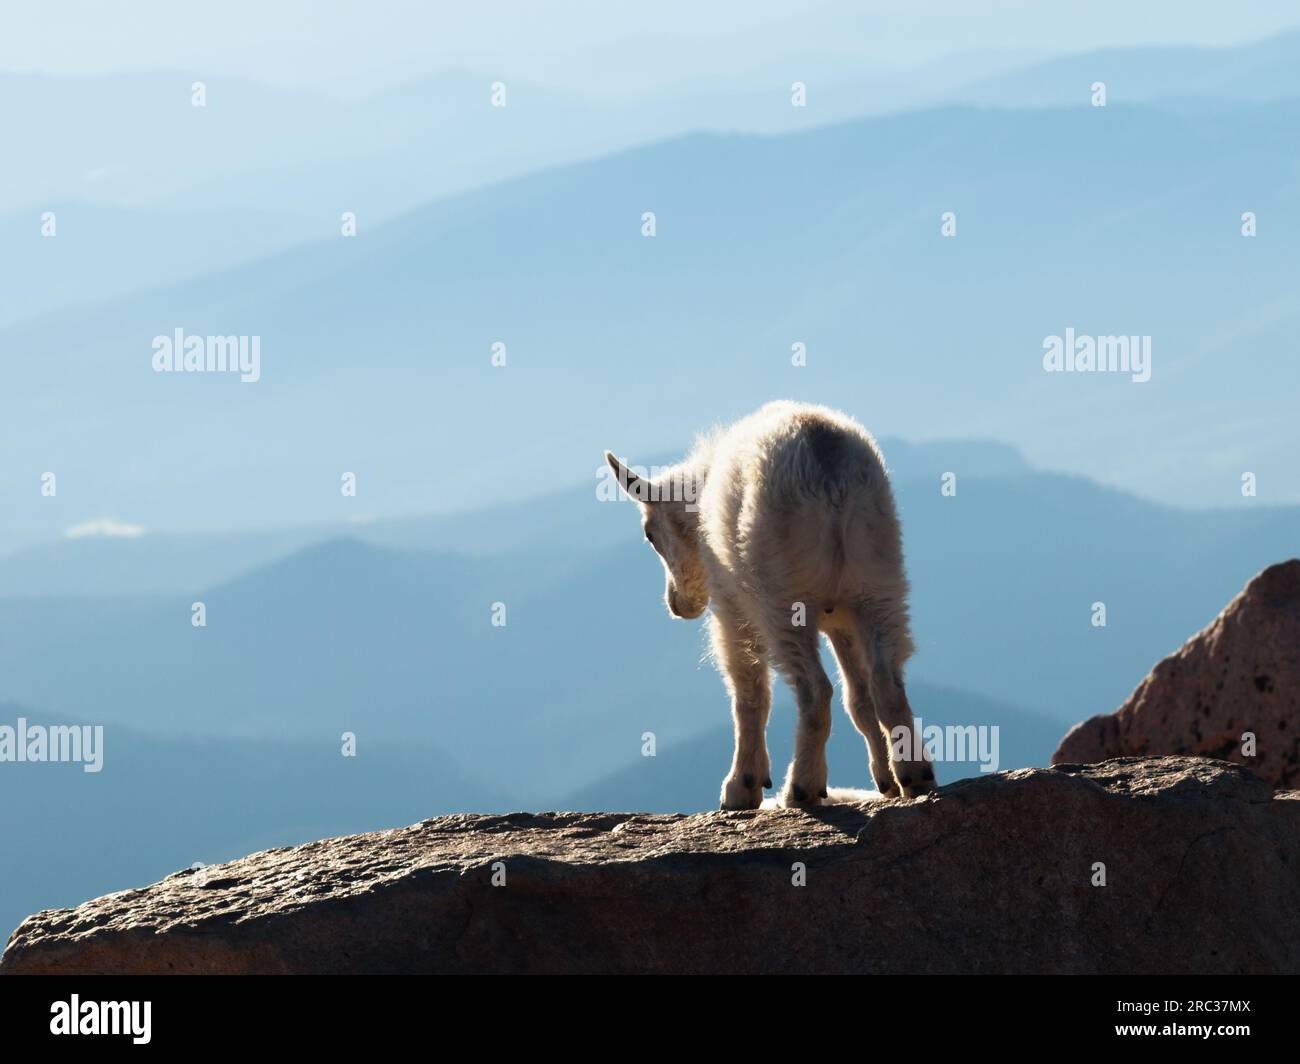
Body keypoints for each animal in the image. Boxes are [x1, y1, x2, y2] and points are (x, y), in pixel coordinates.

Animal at [606, 400, 935, 808]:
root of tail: (828, 473)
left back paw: (802, 787)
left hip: (782, 599)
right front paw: (884, 780)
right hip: (879, 582)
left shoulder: (732, 607)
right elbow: (858, 699)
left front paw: (742, 787)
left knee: (814, 690)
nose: (678, 604)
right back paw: (915, 776)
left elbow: (748, 694)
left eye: (650, 534)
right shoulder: (840, 618)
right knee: (885, 680)